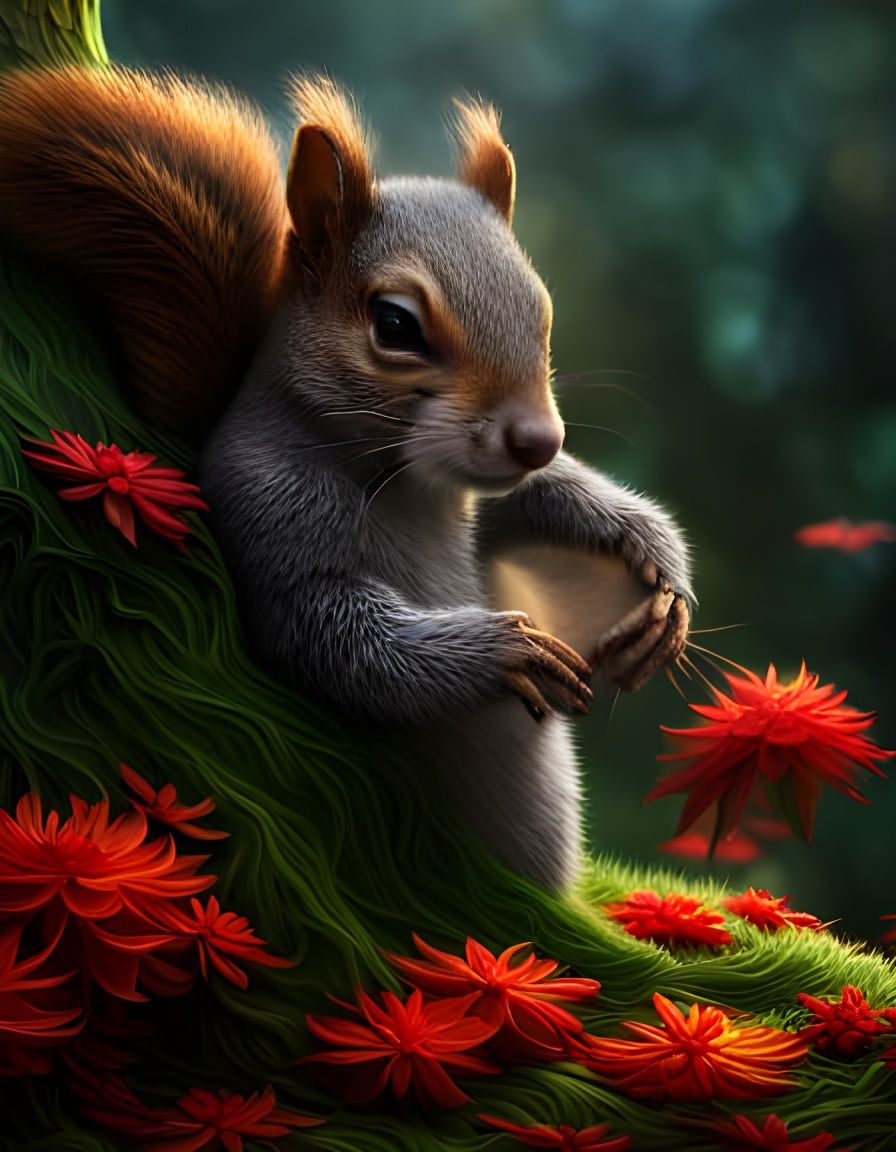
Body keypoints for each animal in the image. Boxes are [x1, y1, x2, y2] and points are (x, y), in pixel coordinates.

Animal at [0, 65, 693, 888]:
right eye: (394, 325)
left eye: (541, 307)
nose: (538, 439)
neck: (412, 485)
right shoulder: (263, 502)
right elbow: (333, 639)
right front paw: (507, 650)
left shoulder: (483, 496)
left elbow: (543, 499)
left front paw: (656, 565)